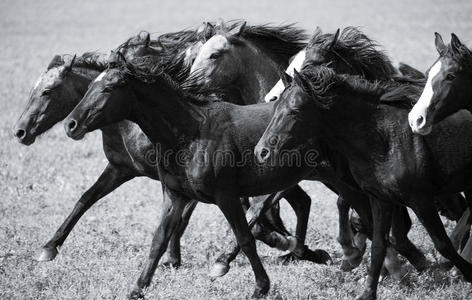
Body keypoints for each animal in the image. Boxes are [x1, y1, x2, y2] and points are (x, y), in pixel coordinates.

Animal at [256, 64, 472, 298]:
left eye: (294, 110)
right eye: (275, 108)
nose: (261, 151)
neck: (385, 140)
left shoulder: (420, 199)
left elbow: (443, 244)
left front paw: (462, 272)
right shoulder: (381, 199)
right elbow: (378, 245)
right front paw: (368, 292)